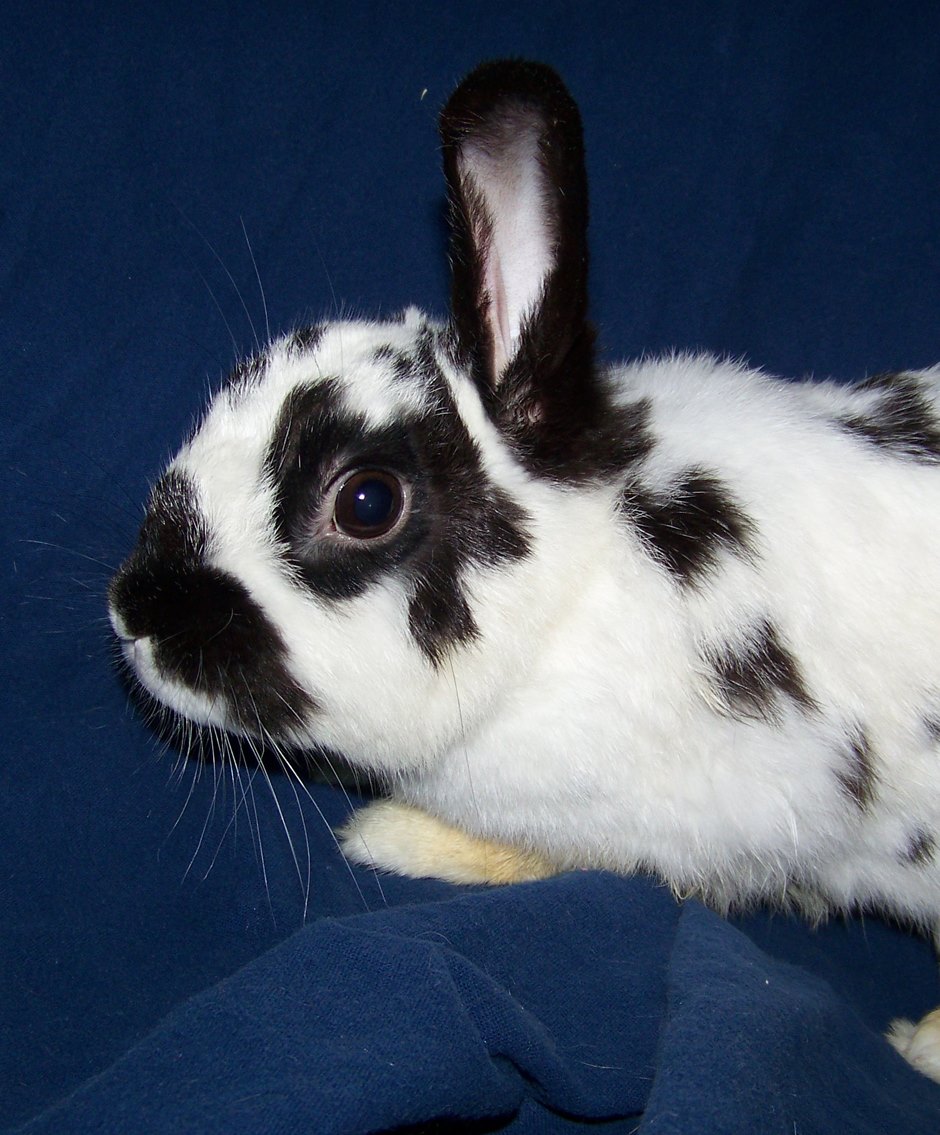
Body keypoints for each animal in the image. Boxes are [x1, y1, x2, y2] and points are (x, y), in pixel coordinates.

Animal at [108, 60, 940, 1079]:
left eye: (367, 502)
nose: (135, 609)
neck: (574, 589)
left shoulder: (711, 814)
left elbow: (573, 858)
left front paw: (392, 835)